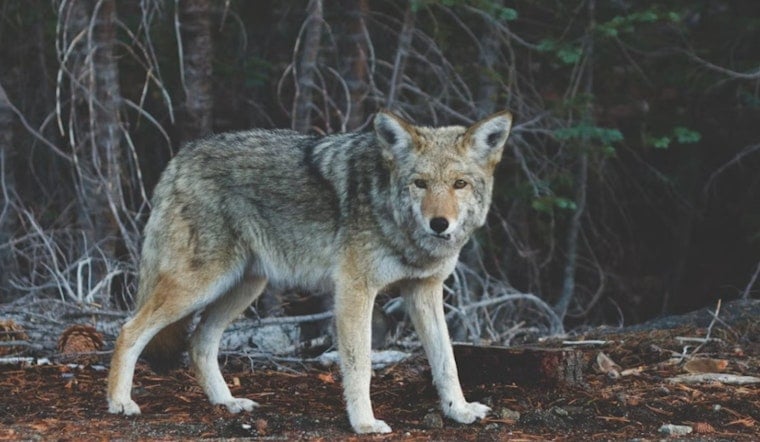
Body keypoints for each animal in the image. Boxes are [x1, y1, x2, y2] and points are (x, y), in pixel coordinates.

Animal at [106, 109, 513, 434]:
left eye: (459, 184)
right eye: (420, 183)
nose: (439, 224)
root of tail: (181, 157)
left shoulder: (424, 291)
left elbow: (447, 361)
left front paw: (459, 411)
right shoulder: (354, 291)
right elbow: (360, 365)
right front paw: (364, 424)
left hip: (243, 288)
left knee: (199, 343)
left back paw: (228, 403)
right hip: (200, 285)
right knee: (129, 330)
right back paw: (120, 402)